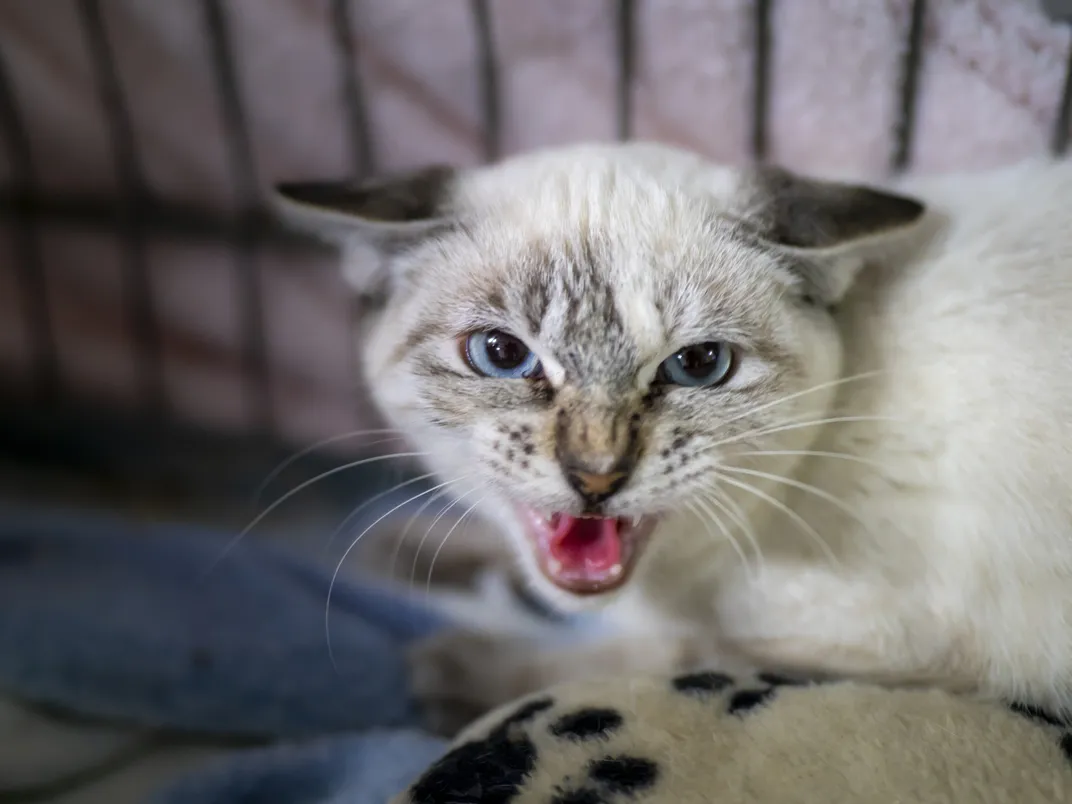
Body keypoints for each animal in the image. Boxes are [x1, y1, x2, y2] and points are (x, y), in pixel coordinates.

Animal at [272, 141, 1072, 733]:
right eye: (501, 354)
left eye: (698, 365)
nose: (596, 474)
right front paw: (400, 549)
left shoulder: (902, 653)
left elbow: (643, 661)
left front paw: (456, 668)